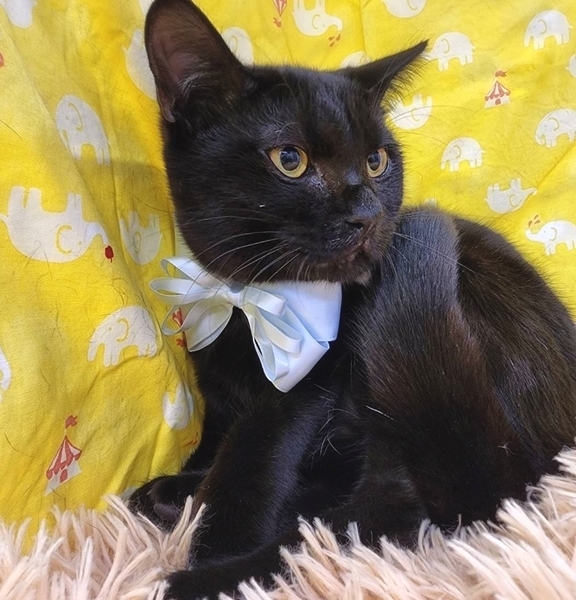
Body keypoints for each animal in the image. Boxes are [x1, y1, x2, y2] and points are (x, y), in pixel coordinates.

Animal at [130, 0, 576, 598]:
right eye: (290, 159)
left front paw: (212, 545)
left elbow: (247, 464)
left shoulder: (302, 386)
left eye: (375, 162)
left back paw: (216, 573)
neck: (247, 301)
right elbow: (216, 438)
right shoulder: (215, 382)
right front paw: (186, 482)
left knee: (372, 521)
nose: (368, 215)